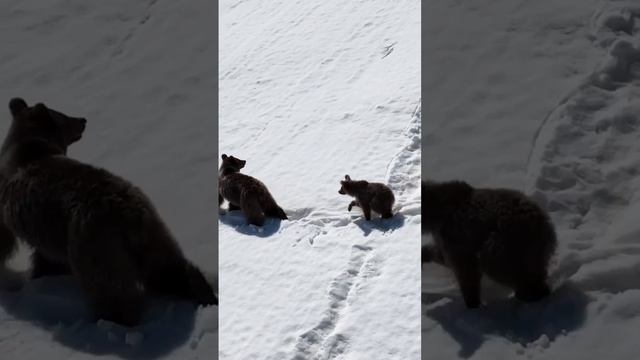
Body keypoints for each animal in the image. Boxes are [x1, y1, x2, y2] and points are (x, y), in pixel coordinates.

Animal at [0, 98, 218, 326]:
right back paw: (203, 294)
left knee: (111, 289)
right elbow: (47, 258)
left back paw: (113, 320)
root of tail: (130, 215)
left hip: (95, 244)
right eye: (65, 116)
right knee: (170, 268)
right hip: (153, 233)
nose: (83, 120)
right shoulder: (50, 230)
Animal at [424, 179, 556, 306]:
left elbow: (465, 271)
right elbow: (442, 256)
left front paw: (473, 303)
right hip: (538, 245)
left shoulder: (456, 237)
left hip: (504, 242)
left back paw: (528, 293)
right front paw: (425, 253)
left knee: (500, 267)